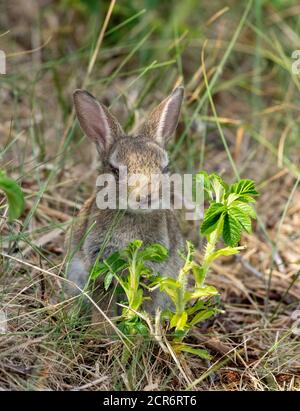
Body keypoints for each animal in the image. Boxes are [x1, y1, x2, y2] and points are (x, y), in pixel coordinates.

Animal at [65, 87, 185, 332]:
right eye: (116, 171)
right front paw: (102, 330)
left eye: (164, 169)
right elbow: (103, 298)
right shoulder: (101, 262)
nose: (147, 196)